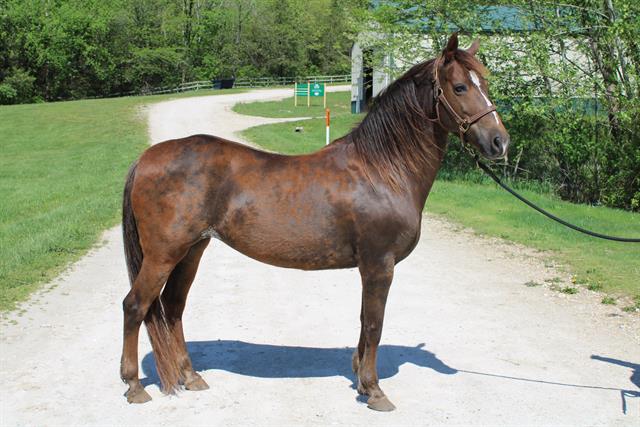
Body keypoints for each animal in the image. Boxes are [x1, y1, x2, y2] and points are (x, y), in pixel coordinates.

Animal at [120, 34, 510, 412]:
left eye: (486, 82)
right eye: (459, 87)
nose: (499, 142)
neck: (382, 171)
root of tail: (146, 158)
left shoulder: (369, 268)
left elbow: (363, 321)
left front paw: (361, 380)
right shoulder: (379, 265)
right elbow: (375, 324)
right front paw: (374, 391)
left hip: (192, 251)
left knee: (173, 308)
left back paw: (191, 377)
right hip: (163, 255)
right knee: (135, 306)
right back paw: (134, 386)